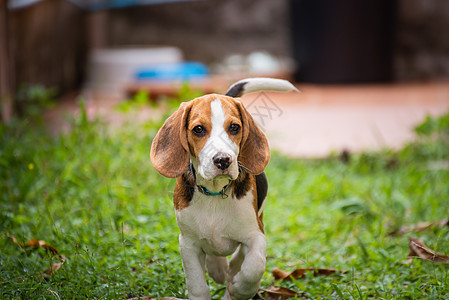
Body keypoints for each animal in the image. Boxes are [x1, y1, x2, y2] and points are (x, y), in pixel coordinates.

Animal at [150, 78, 298, 300]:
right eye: (198, 129)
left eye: (234, 127)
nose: (223, 160)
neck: (214, 192)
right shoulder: (187, 243)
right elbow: (197, 285)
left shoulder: (256, 234)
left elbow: (254, 266)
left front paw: (239, 289)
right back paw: (218, 268)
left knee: (239, 257)